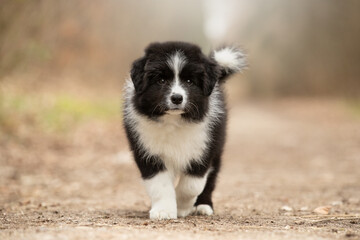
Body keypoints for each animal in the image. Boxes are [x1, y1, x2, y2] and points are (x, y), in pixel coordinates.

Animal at [123, 41, 245, 219]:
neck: (174, 121)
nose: (176, 98)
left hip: (217, 149)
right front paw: (163, 211)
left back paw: (203, 206)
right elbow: (159, 184)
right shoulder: (147, 151)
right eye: (161, 80)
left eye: (189, 81)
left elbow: (192, 185)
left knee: (211, 179)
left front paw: (181, 207)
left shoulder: (204, 150)